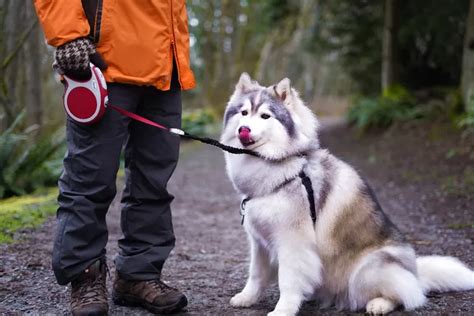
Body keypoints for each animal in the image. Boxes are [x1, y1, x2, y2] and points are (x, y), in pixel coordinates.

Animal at [219, 73, 474, 314]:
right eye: (243, 113)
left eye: (265, 116)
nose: (244, 129)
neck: (279, 168)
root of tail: (415, 271)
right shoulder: (259, 242)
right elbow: (256, 274)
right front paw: (247, 298)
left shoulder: (293, 242)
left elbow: (288, 281)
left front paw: (283, 309)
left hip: (367, 270)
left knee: (409, 294)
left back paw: (379, 304)